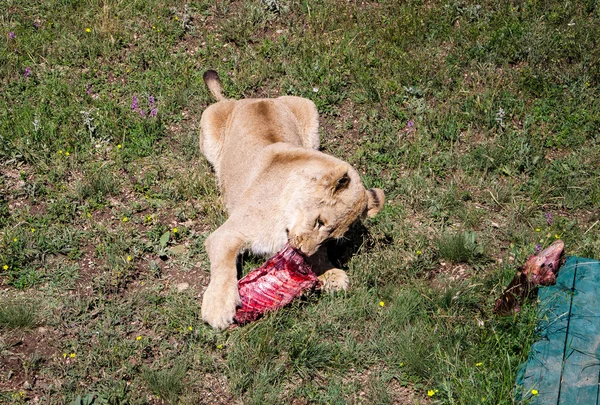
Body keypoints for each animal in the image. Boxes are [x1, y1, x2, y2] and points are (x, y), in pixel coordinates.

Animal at [197, 70, 384, 328]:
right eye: (319, 221)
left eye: (332, 238)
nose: (303, 251)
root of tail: (245, 100)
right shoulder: (225, 235)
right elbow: (224, 267)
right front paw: (218, 307)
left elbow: (317, 256)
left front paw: (329, 273)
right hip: (209, 122)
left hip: (308, 107)